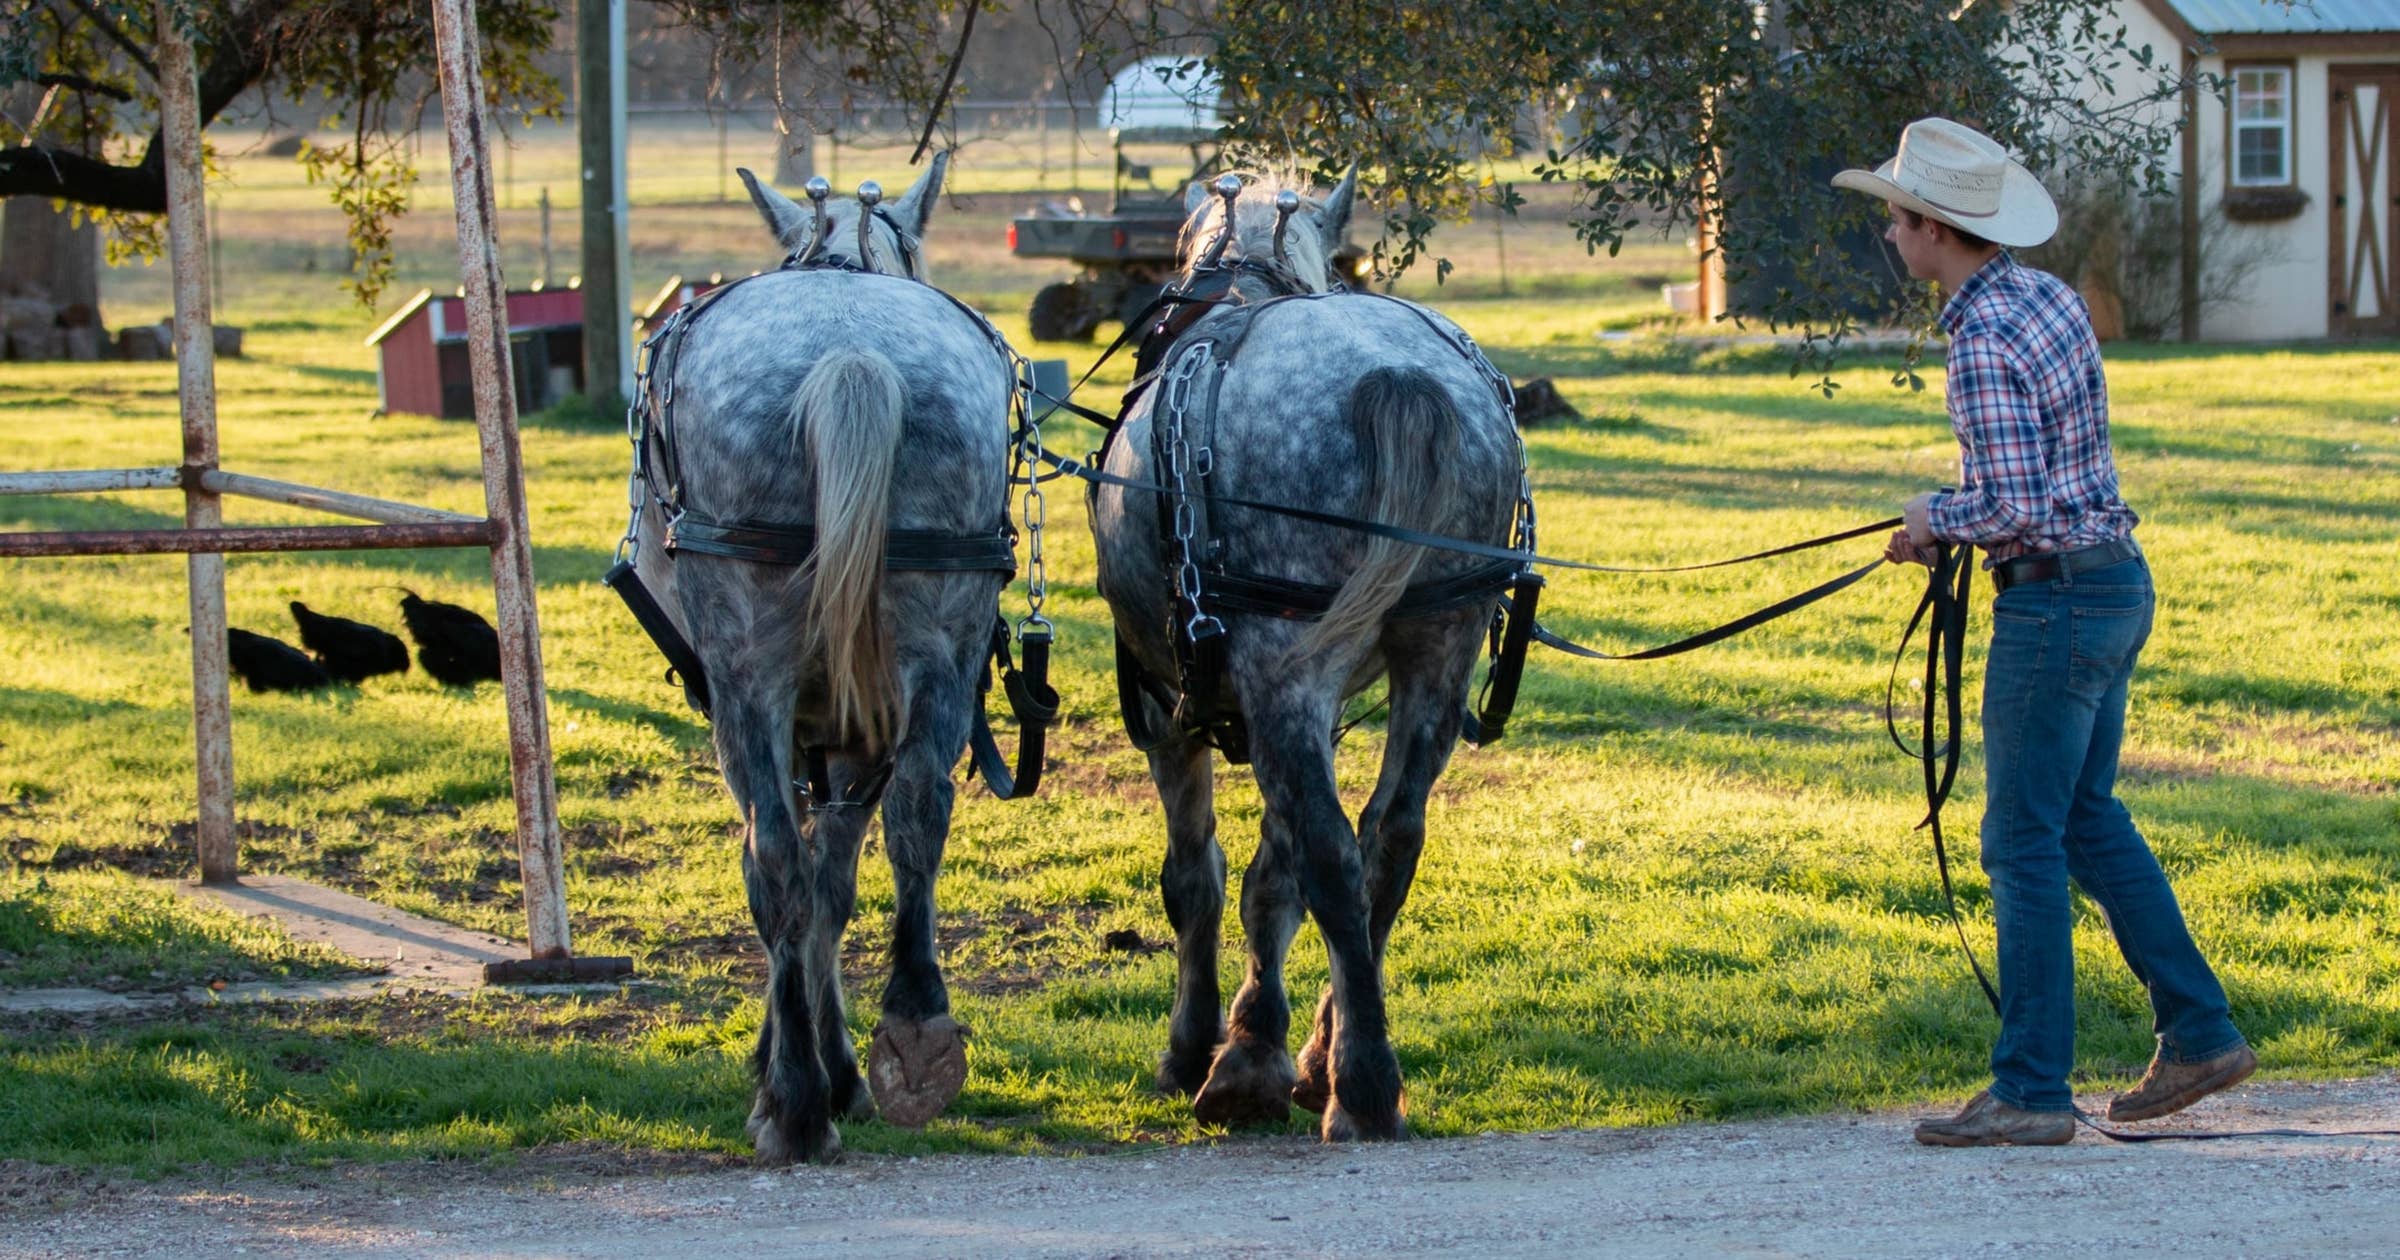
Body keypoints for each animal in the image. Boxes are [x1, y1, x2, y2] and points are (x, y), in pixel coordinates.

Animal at [633, 157, 1008, 1161]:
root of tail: (851, 356)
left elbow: (802, 876)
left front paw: (800, 1064)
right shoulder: (857, 726)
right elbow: (838, 878)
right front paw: (847, 1065)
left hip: (746, 681)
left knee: (769, 858)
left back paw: (795, 1101)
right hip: (941, 645)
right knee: (918, 815)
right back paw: (915, 1033)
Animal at [1094, 169, 1516, 1137]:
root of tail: (1397, 379)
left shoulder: (1170, 709)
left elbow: (1200, 879)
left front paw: (1205, 1050)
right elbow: (1272, 879)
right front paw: (1272, 1039)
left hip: (1282, 669)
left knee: (1330, 847)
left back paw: (1345, 1083)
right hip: (1443, 642)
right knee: (1386, 840)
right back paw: (1335, 1054)